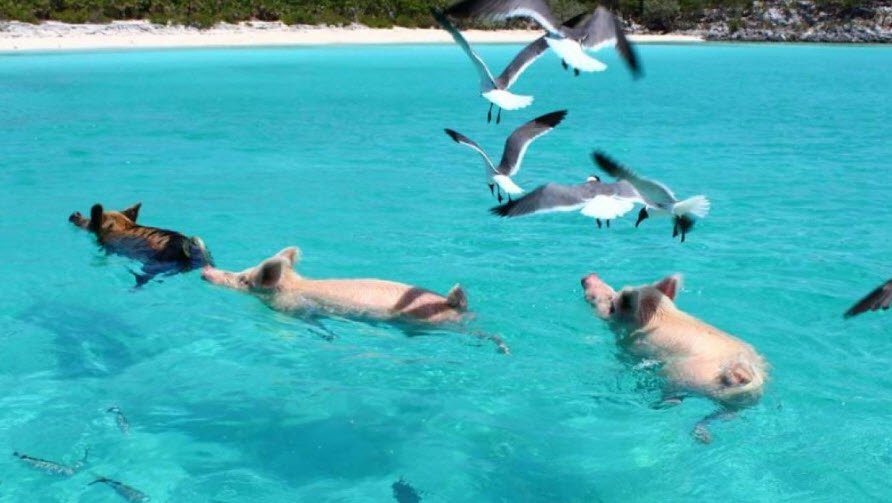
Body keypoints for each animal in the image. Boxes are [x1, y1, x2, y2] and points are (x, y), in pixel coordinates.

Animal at [581, 272, 768, 443]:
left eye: (611, 301)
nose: (587, 277)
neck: (659, 314)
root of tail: (741, 372)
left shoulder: (629, 347)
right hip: (742, 400)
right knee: (724, 415)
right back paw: (704, 437)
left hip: (679, 375)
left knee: (675, 398)